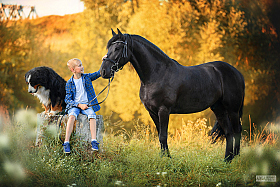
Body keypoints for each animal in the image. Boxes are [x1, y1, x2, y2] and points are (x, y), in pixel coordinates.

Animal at [100, 29, 245, 162]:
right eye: (108, 48)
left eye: (117, 48)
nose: (103, 71)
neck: (157, 74)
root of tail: (237, 73)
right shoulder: (152, 112)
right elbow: (160, 135)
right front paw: (164, 158)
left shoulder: (164, 110)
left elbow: (163, 136)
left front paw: (167, 159)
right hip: (219, 109)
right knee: (229, 132)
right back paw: (227, 160)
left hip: (233, 110)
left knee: (237, 131)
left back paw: (235, 160)